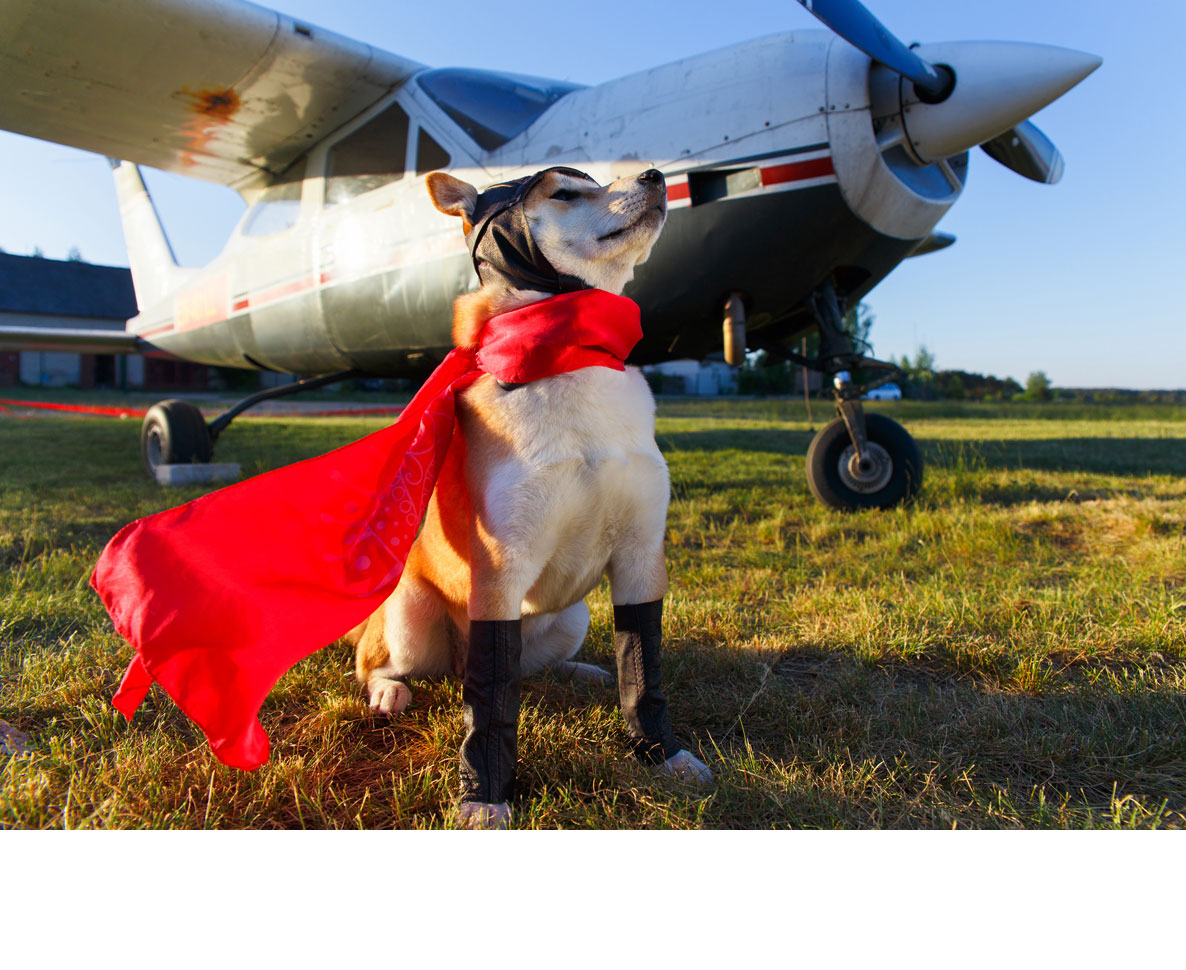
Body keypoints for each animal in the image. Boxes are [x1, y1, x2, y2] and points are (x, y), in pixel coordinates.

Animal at [346, 164, 711, 825]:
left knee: (533, 669)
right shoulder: (501, 567)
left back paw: (580, 671)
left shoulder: (642, 556)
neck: (569, 354)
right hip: (409, 613)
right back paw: (389, 690)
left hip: (573, 613)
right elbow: (490, 705)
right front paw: (484, 795)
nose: (655, 173)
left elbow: (643, 671)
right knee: (383, 663)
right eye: (564, 192)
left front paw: (663, 755)